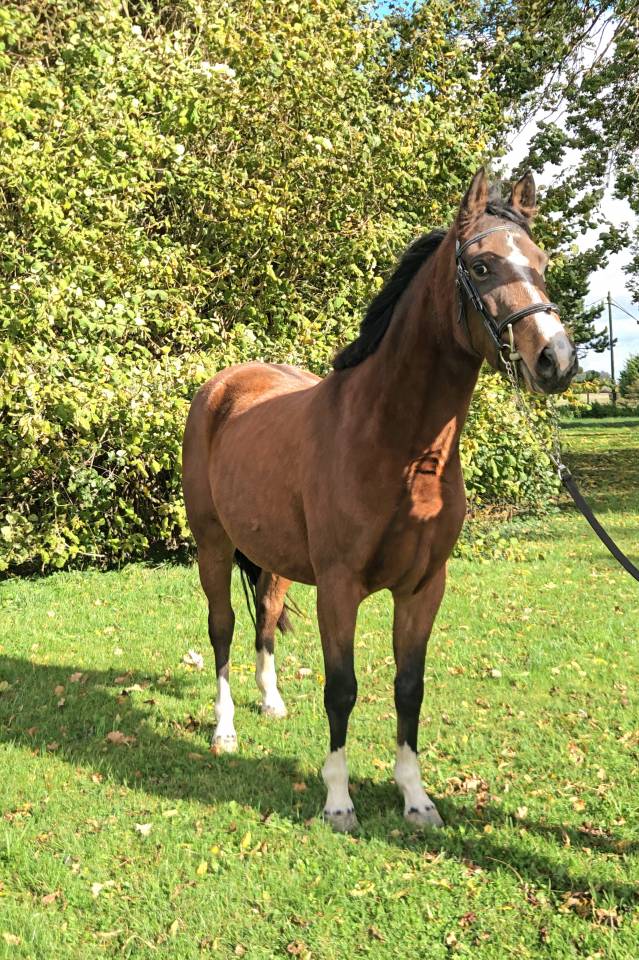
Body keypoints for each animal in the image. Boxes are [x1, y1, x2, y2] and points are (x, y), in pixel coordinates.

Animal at [182, 168, 577, 832]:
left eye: (543, 262)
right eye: (483, 265)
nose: (556, 359)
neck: (399, 449)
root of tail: (223, 386)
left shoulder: (423, 587)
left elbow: (408, 687)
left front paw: (415, 798)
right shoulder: (339, 587)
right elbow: (341, 688)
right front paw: (339, 801)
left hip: (277, 560)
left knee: (264, 618)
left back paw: (271, 701)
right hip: (213, 546)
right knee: (222, 628)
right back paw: (226, 729)